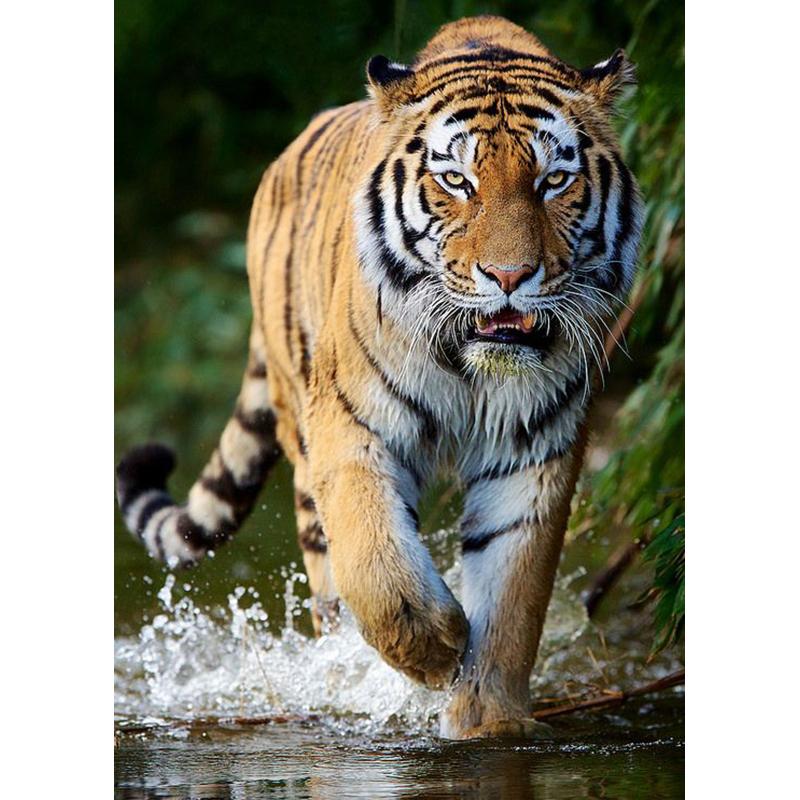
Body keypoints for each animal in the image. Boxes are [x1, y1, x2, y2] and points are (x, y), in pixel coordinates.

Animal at [116, 15, 642, 739]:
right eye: (458, 182)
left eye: (553, 181)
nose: (509, 277)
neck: (472, 364)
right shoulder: (353, 428)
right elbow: (375, 562)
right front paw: (435, 648)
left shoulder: (531, 453)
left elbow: (513, 599)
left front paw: (487, 720)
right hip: (301, 439)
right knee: (332, 578)